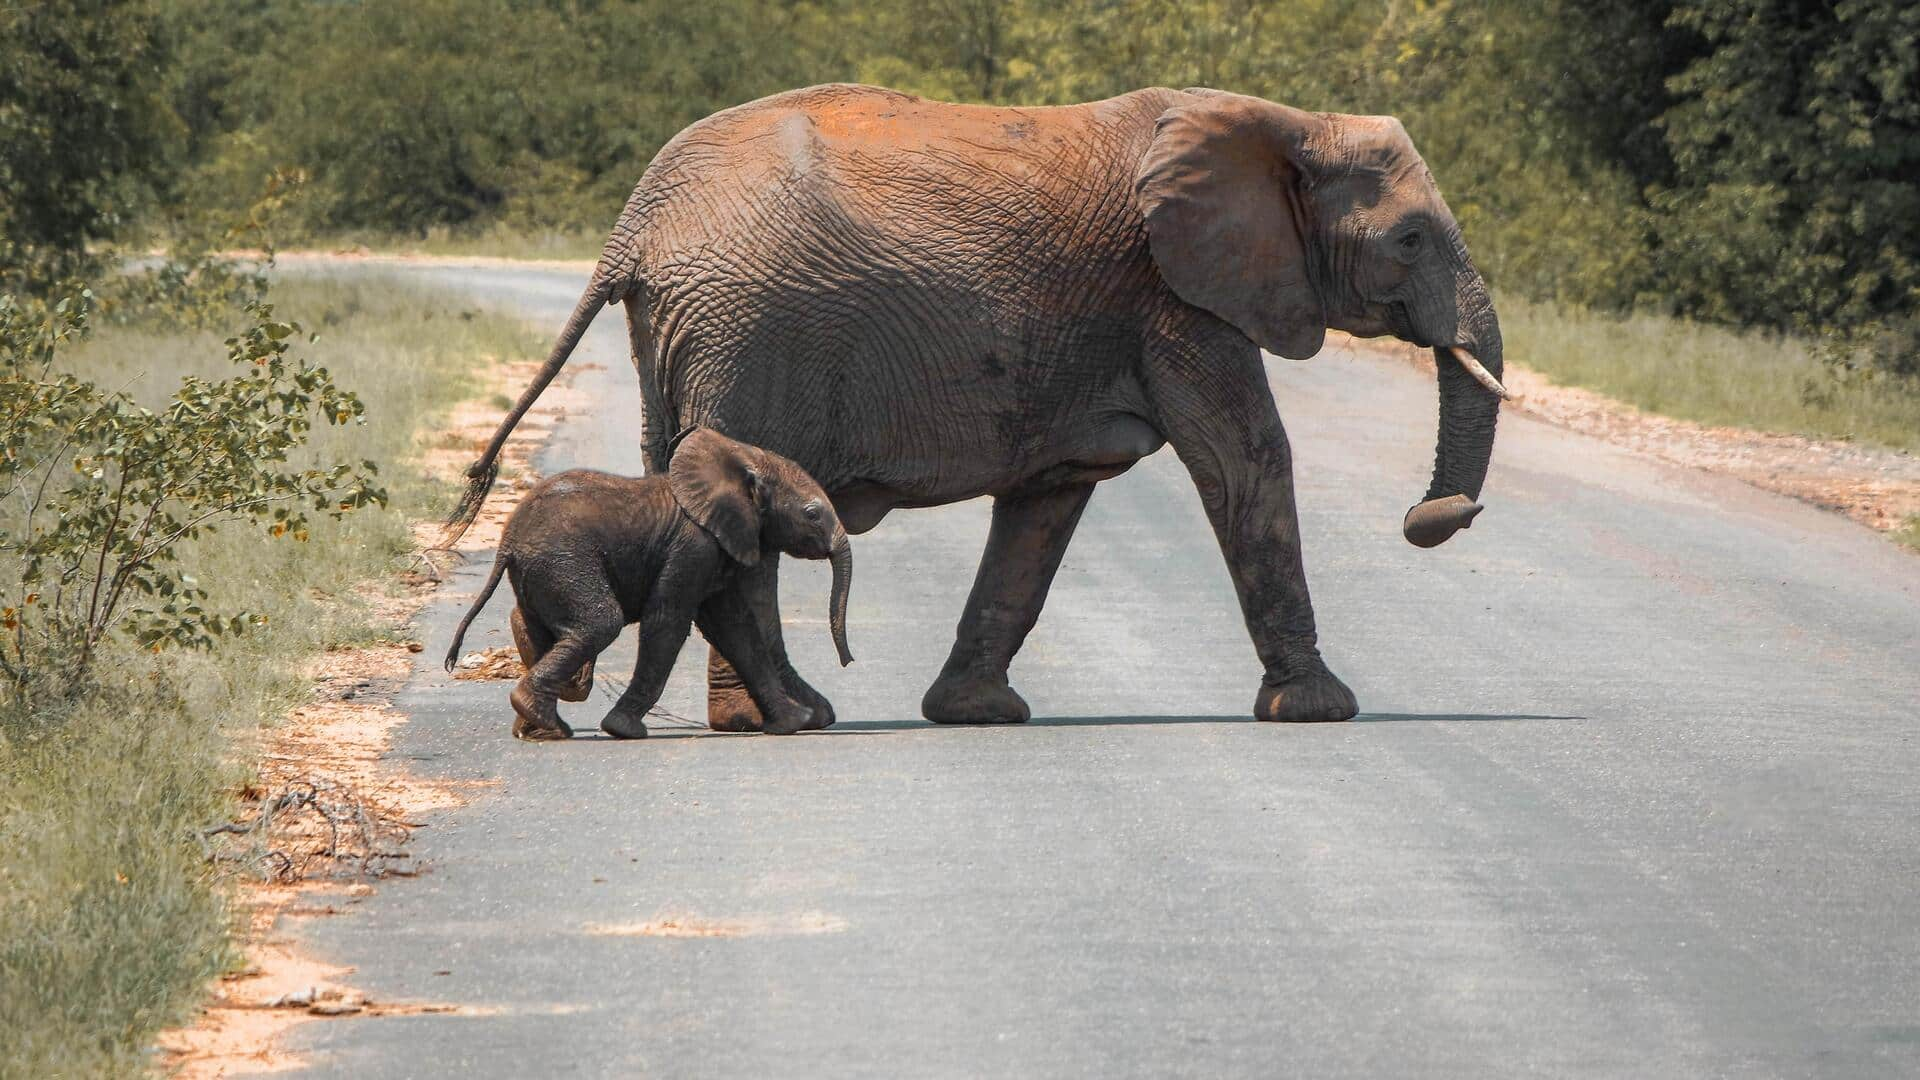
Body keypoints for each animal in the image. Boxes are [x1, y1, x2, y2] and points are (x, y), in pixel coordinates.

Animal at [445, 428, 852, 737]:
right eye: (812, 514)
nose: (848, 661)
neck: (740, 463)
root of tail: (507, 542)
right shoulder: (693, 546)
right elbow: (667, 622)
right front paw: (623, 729)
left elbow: (735, 629)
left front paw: (793, 723)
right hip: (563, 561)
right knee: (601, 621)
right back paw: (545, 720)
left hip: (541, 572)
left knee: (530, 623)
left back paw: (537, 727)